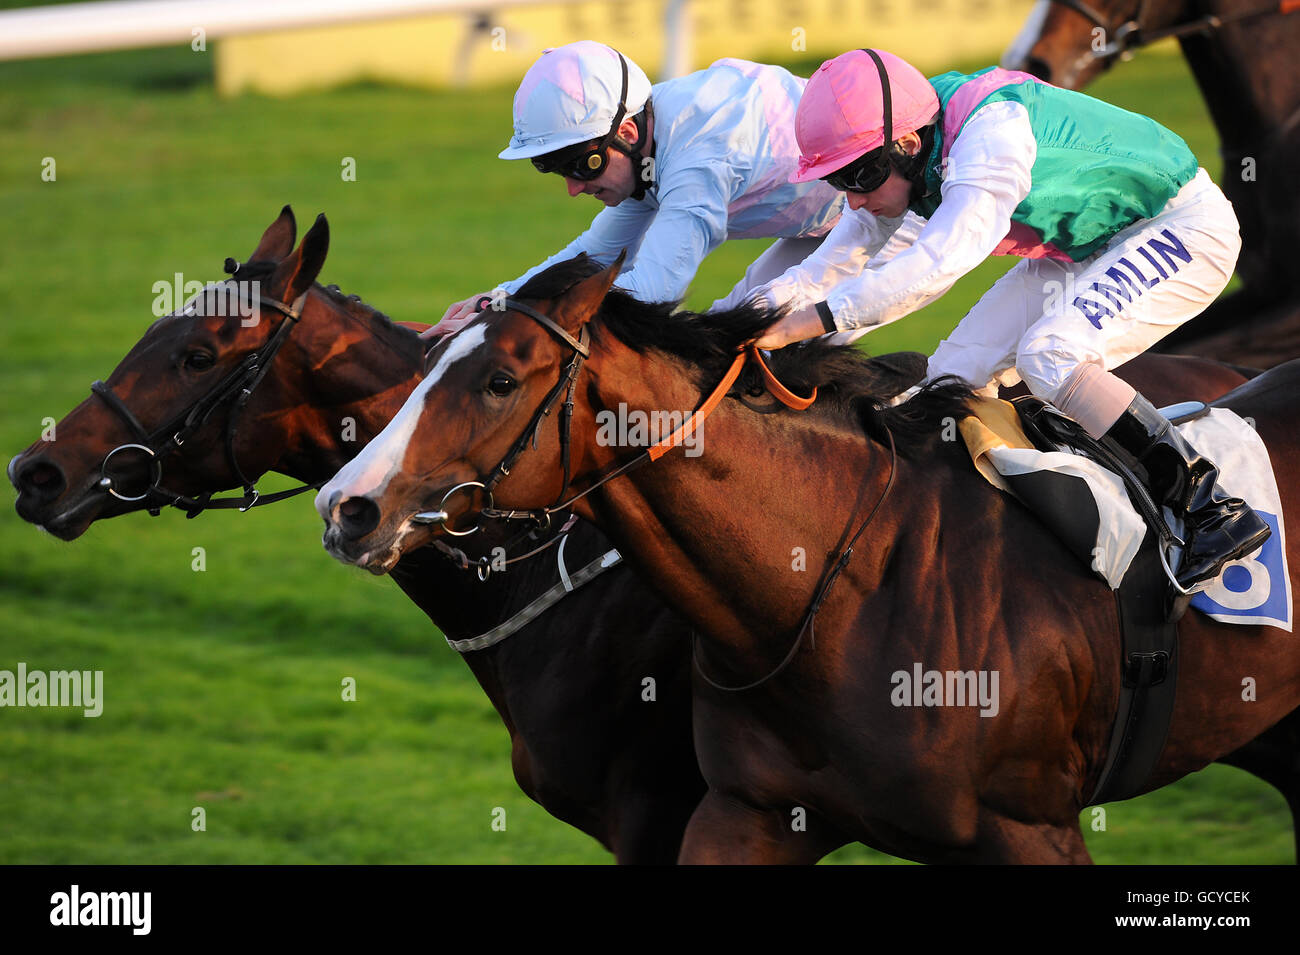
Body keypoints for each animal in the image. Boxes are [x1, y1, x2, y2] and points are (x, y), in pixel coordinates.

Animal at [319, 255, 1300, 867]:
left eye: (498, 380)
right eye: (426, 361)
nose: (346, 506)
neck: (843, 587)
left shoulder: (1030, 826)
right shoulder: (747, 811)